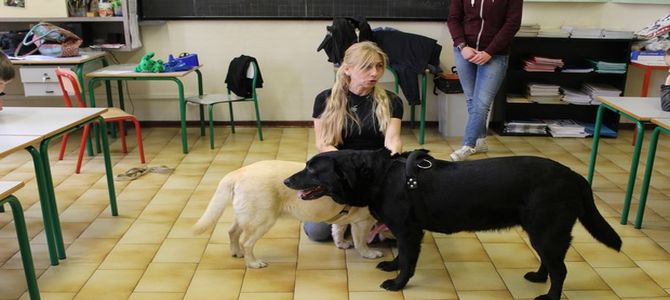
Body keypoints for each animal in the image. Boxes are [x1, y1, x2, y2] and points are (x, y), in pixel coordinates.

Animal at [194, 161, 384, 268]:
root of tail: (238, 172)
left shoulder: (344, 216)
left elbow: (338, 229)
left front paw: (341, 243)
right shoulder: (364, 222)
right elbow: (361, 242)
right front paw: (369, 253)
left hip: (247, 217)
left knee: (232, 232)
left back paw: (236, 252)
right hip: (262, 220)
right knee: (246, 242)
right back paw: (253, 263)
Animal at [284, 148, 624, 300]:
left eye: (312, 169)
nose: (287, 180)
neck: (381, 177)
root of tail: (575, 176)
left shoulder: (409, 231)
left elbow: (407, 261)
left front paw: (397, 283)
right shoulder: (405, 231)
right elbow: (400, 257)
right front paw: (391, 267)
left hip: (547, 230)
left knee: (561, 269)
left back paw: (550, 297)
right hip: (541, 230)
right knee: (549, 263)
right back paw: (538, 278)